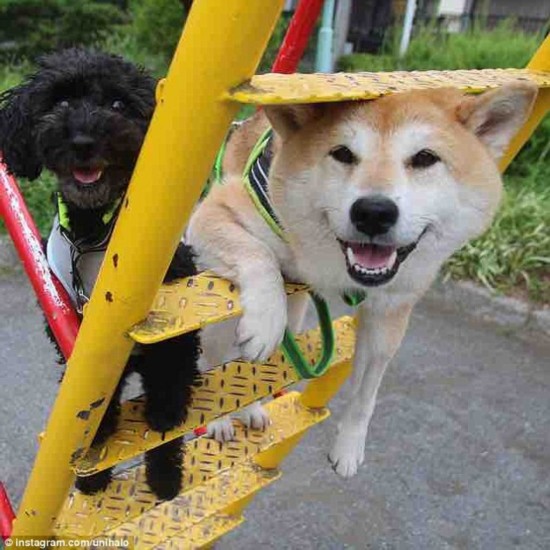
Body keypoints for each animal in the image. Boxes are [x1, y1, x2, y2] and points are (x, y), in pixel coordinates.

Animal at [0, 48, 201, 500]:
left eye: (118, 104)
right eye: (59, 101)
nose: (83, 142)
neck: (94, 235)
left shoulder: (172, 334)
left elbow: (168, 403)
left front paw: (164, 453)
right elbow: (90, 402)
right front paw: (93, 465)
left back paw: (165, 480)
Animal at [188, 82, 537, 476]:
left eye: (425, 158)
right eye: (342, 153)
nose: (373, 212)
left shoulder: (390, 313)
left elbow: (366, 393)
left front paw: (349, 448)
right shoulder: (214, 214)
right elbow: (258, 257)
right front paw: (264, 322)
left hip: (297, 311)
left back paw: (251, 410)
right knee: (217, 362)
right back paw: (219, 419)